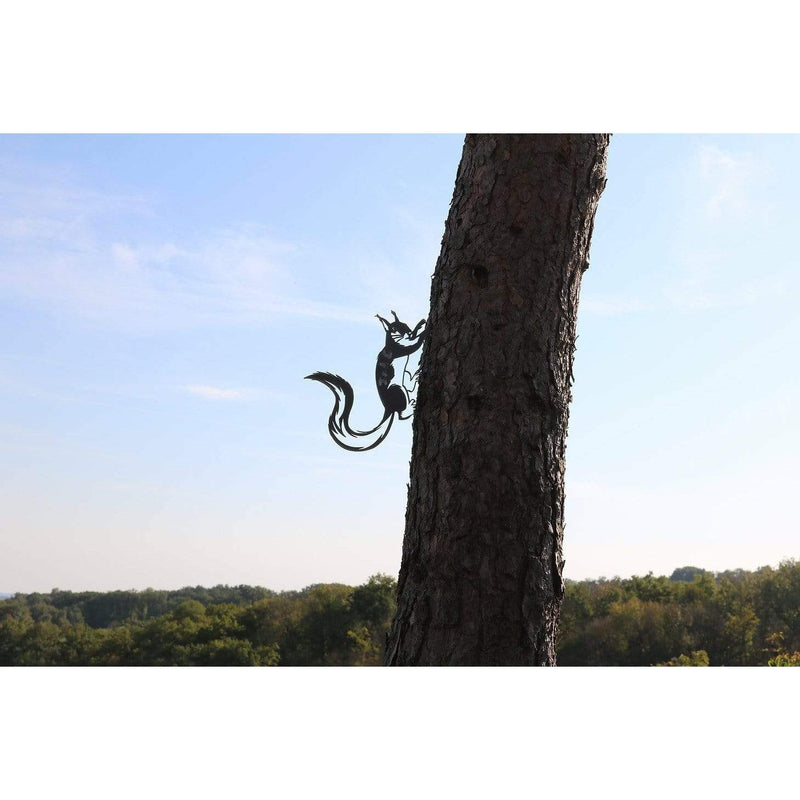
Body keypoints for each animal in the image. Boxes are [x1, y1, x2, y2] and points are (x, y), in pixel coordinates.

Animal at [306, 311, 426, 452]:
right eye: (394, 329)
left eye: (405, 325)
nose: (407, 332)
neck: (391, 342)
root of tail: (388, 409)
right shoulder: (400, 348)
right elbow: (414, 344)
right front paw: (422, 329)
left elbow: (413, 340)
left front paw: (420, 325)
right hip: (396, 388)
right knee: (402, 415)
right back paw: (412, 404)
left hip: (404, 378)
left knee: (408, 385)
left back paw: (416, 377)